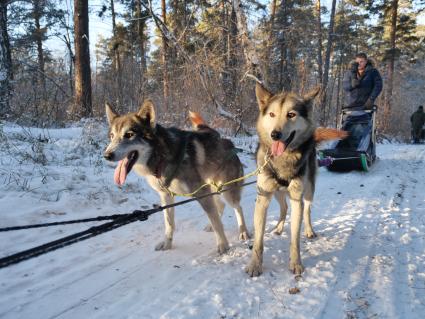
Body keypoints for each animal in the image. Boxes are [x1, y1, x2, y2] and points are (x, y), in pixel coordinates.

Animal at [103, 101, 248, 254]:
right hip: (213, 188)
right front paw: (167, 244)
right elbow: (169, 224)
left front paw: (223, 244)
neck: (161, 157)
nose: (107, 155)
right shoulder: (166, 196)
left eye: (129, 134)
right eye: (112, 136)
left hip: (227, 191)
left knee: (237, 207)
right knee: (220, 205)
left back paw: (243, 231)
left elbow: (216, 222)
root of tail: (227, 142)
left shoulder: (201, 193)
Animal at [245, 83, 344, 278]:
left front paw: (296, 263)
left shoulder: (297, 199)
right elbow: (258, 242)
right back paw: (278, 228)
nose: (275, 134)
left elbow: (295, 238)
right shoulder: (263, 198)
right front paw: (255, 265)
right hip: (277, 192)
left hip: (308, 190)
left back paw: (309, 230)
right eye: (272, 114)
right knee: (283, 207)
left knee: (307, 211)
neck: (283, 159)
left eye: (291, 114)